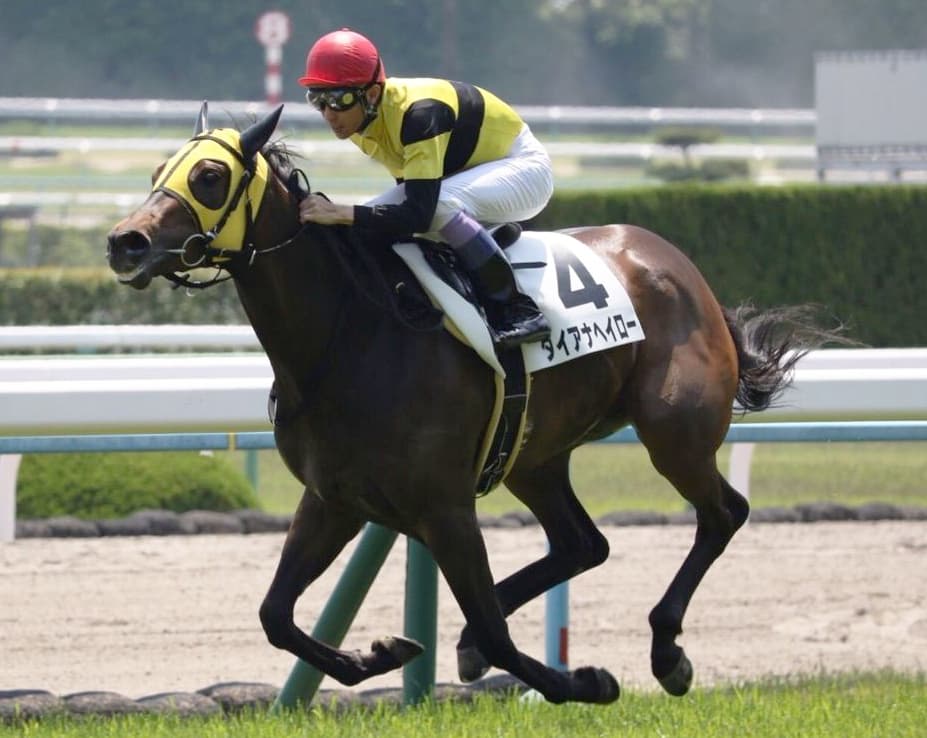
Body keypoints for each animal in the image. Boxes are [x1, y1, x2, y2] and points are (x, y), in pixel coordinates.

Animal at [106, 103, 846, 705]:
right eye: (157, 170)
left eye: (209, 177)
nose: (125, 242)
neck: (348, 335)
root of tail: (670, 258)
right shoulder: (334, 499)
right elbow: (276, 615)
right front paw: (381, 653)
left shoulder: (444, 507)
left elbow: (495, 636)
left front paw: (588, 681)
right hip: (534, 457)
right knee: (584, 543)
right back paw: (467, 640)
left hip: (673, 432)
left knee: (723, 513)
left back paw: (667, 653)